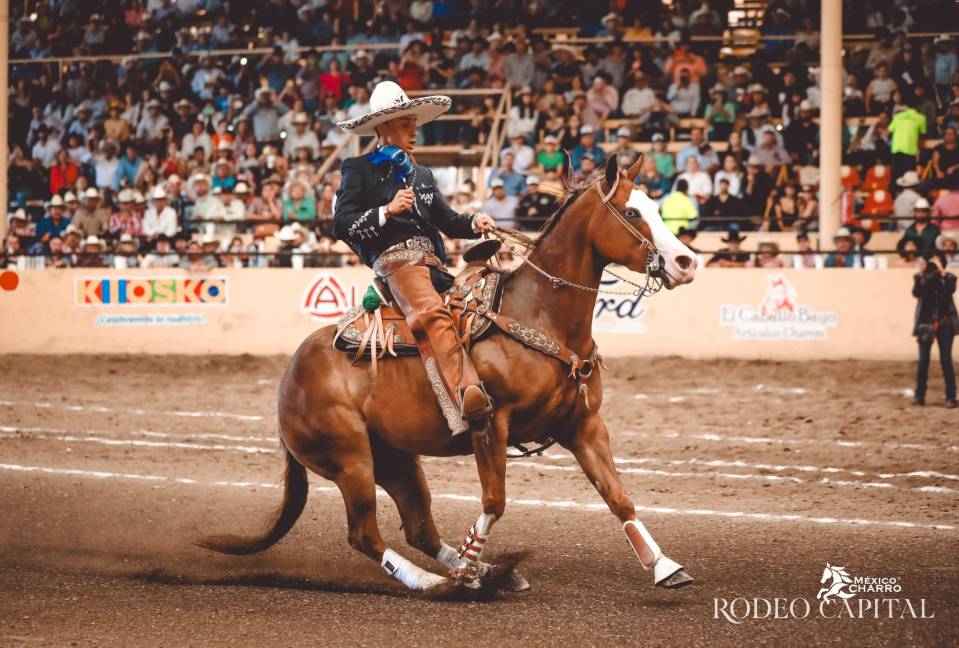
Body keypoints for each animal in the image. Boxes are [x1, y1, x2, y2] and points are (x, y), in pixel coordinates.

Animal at [201, 154, 696, 596]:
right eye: (631, 212)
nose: (686, 262)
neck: (538, 315)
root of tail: (289, 378)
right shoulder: (491, 425)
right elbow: (494, 502)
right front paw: (472, 564)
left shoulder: (585, 425)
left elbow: (618, 496)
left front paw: (666, 567)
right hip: (350, 459)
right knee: (365, 534)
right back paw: (440, 582)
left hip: (395, 458)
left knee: (418, 527)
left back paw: (477, 573)